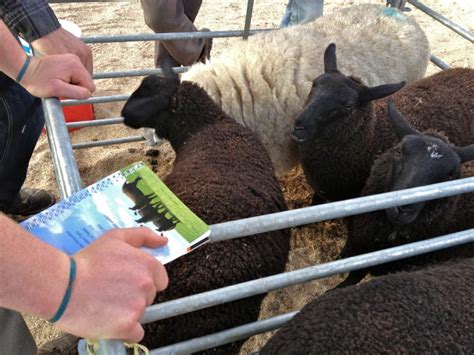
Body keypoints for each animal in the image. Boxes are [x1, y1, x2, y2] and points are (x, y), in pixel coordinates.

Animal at [294, 44, 474, 204]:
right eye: (314, 84)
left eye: (348, 105)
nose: (299, 127)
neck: (373, 136)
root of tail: (468, 71)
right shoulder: (319, 190)